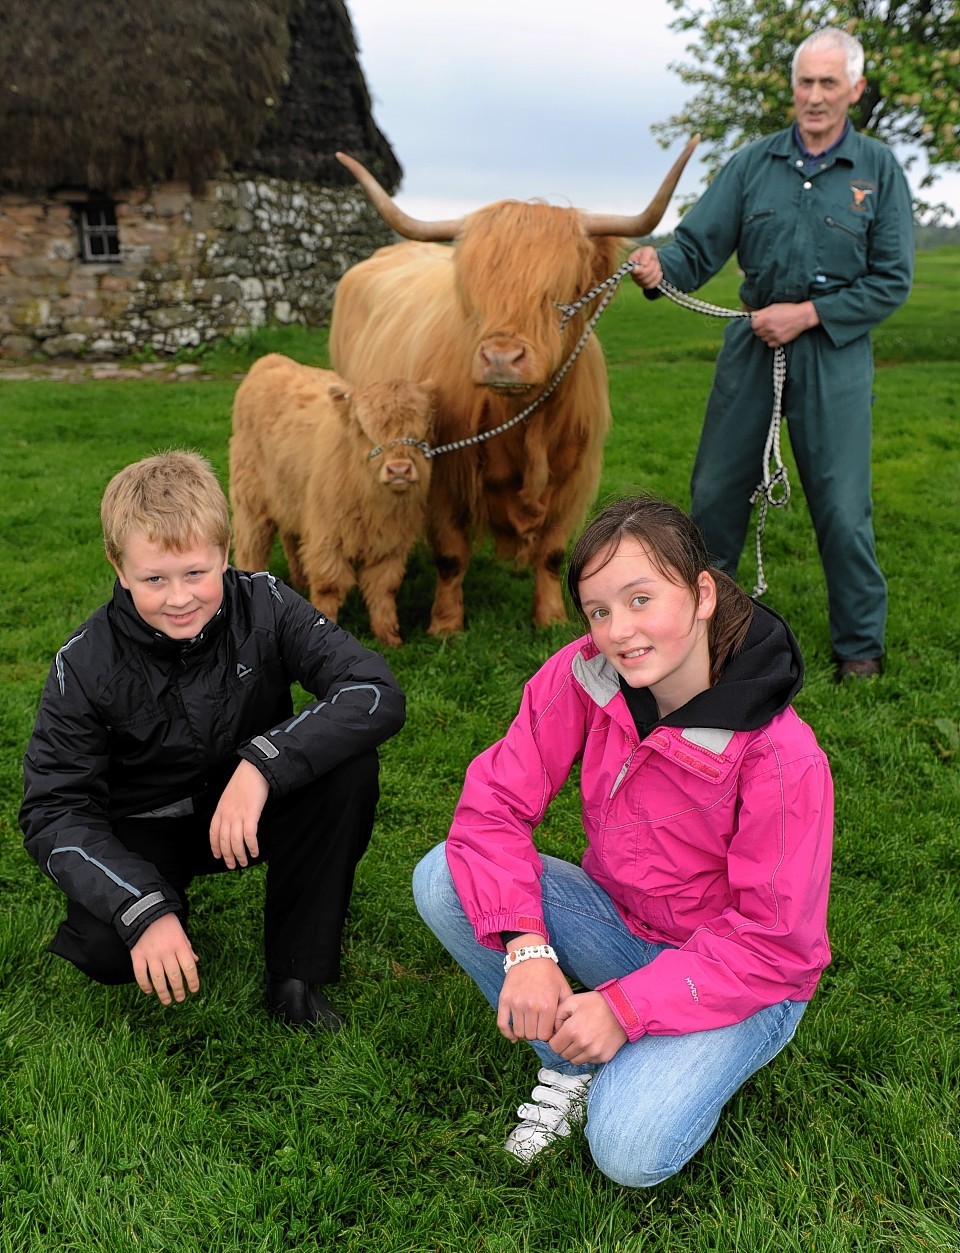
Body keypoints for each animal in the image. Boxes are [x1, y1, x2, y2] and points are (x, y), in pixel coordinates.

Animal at [230, 353, 433, 646]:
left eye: (420, 431)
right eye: (364, 429)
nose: (399, 470)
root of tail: (271, 359)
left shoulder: (392, 542)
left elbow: (384, 587)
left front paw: (389, 636)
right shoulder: (327, 536)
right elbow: (330, 585)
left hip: (291, 498)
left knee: (291, 539)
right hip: (251, 499)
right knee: (252, 545)